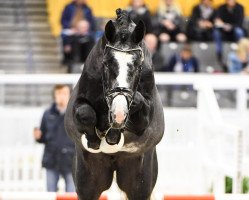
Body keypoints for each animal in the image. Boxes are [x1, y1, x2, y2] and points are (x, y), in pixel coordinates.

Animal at [65, 8, 164, 199]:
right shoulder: (78, 104)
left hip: (138, 181)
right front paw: (95, 141)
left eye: (138, 66)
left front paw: (114, 131)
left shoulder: (144, 119)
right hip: (89, 179)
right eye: (106, 63)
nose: (118, 113)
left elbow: (137, 104)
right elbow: (85, 113)